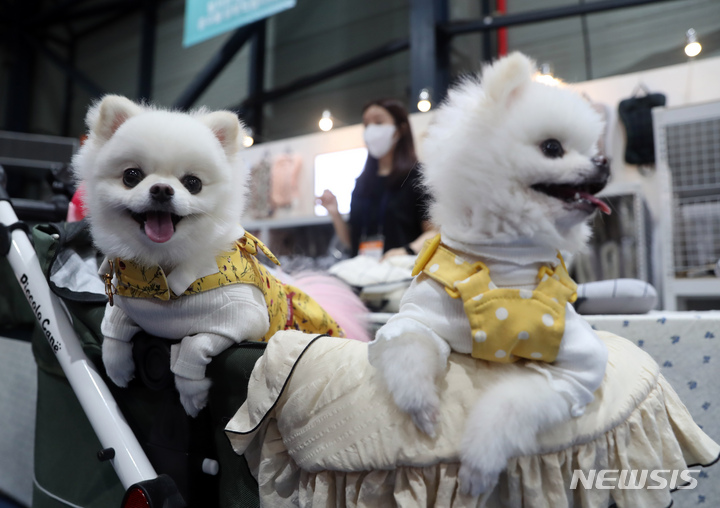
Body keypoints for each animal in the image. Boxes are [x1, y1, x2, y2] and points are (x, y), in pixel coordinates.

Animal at [75, 95, 368, 416]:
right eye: (131, 176)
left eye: (193, 183)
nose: (162, 189)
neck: (162, 272)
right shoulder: (129, 305)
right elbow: (111, 326)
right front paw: (116, 367)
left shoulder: (243, 320)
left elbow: (192, 346)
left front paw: (192, 395)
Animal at [368, 52, 612, 496]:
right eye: (553, 148)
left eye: (592, 150)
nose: (604, 163)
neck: (506, 259)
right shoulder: (419, 318)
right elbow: (407, 349)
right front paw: (423, 407)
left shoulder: (572, 370)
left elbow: (509, 404)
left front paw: (480, 464)